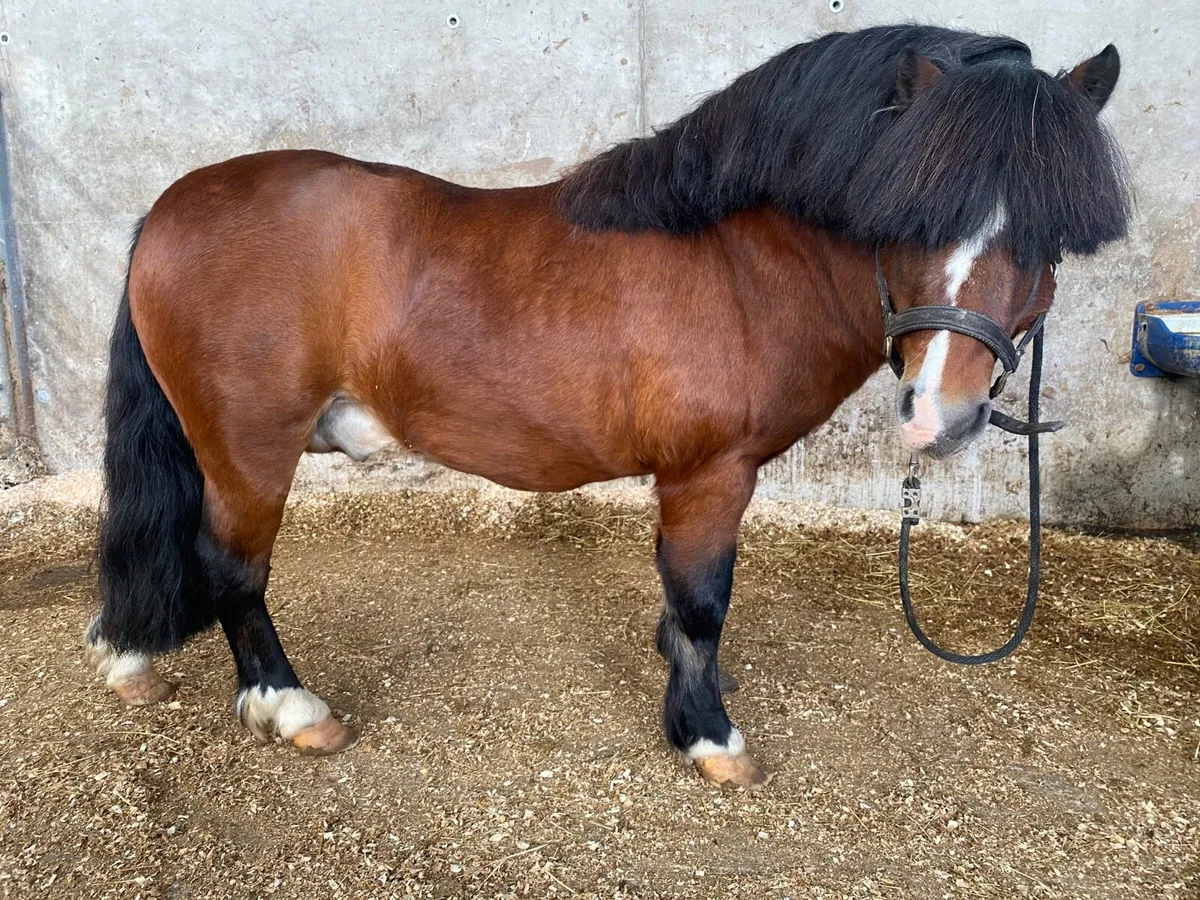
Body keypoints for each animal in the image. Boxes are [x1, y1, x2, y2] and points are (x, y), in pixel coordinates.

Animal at [84, 24, 1130, 790]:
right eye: (909, 212)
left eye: (1050, 233)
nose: (937, 417)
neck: (738, 260)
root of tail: (171, 209)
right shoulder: (710, 474)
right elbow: (703, 598)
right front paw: (708, 734)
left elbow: (684, 606)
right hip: (250, 446)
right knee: (233, 568)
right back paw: (290, 706)